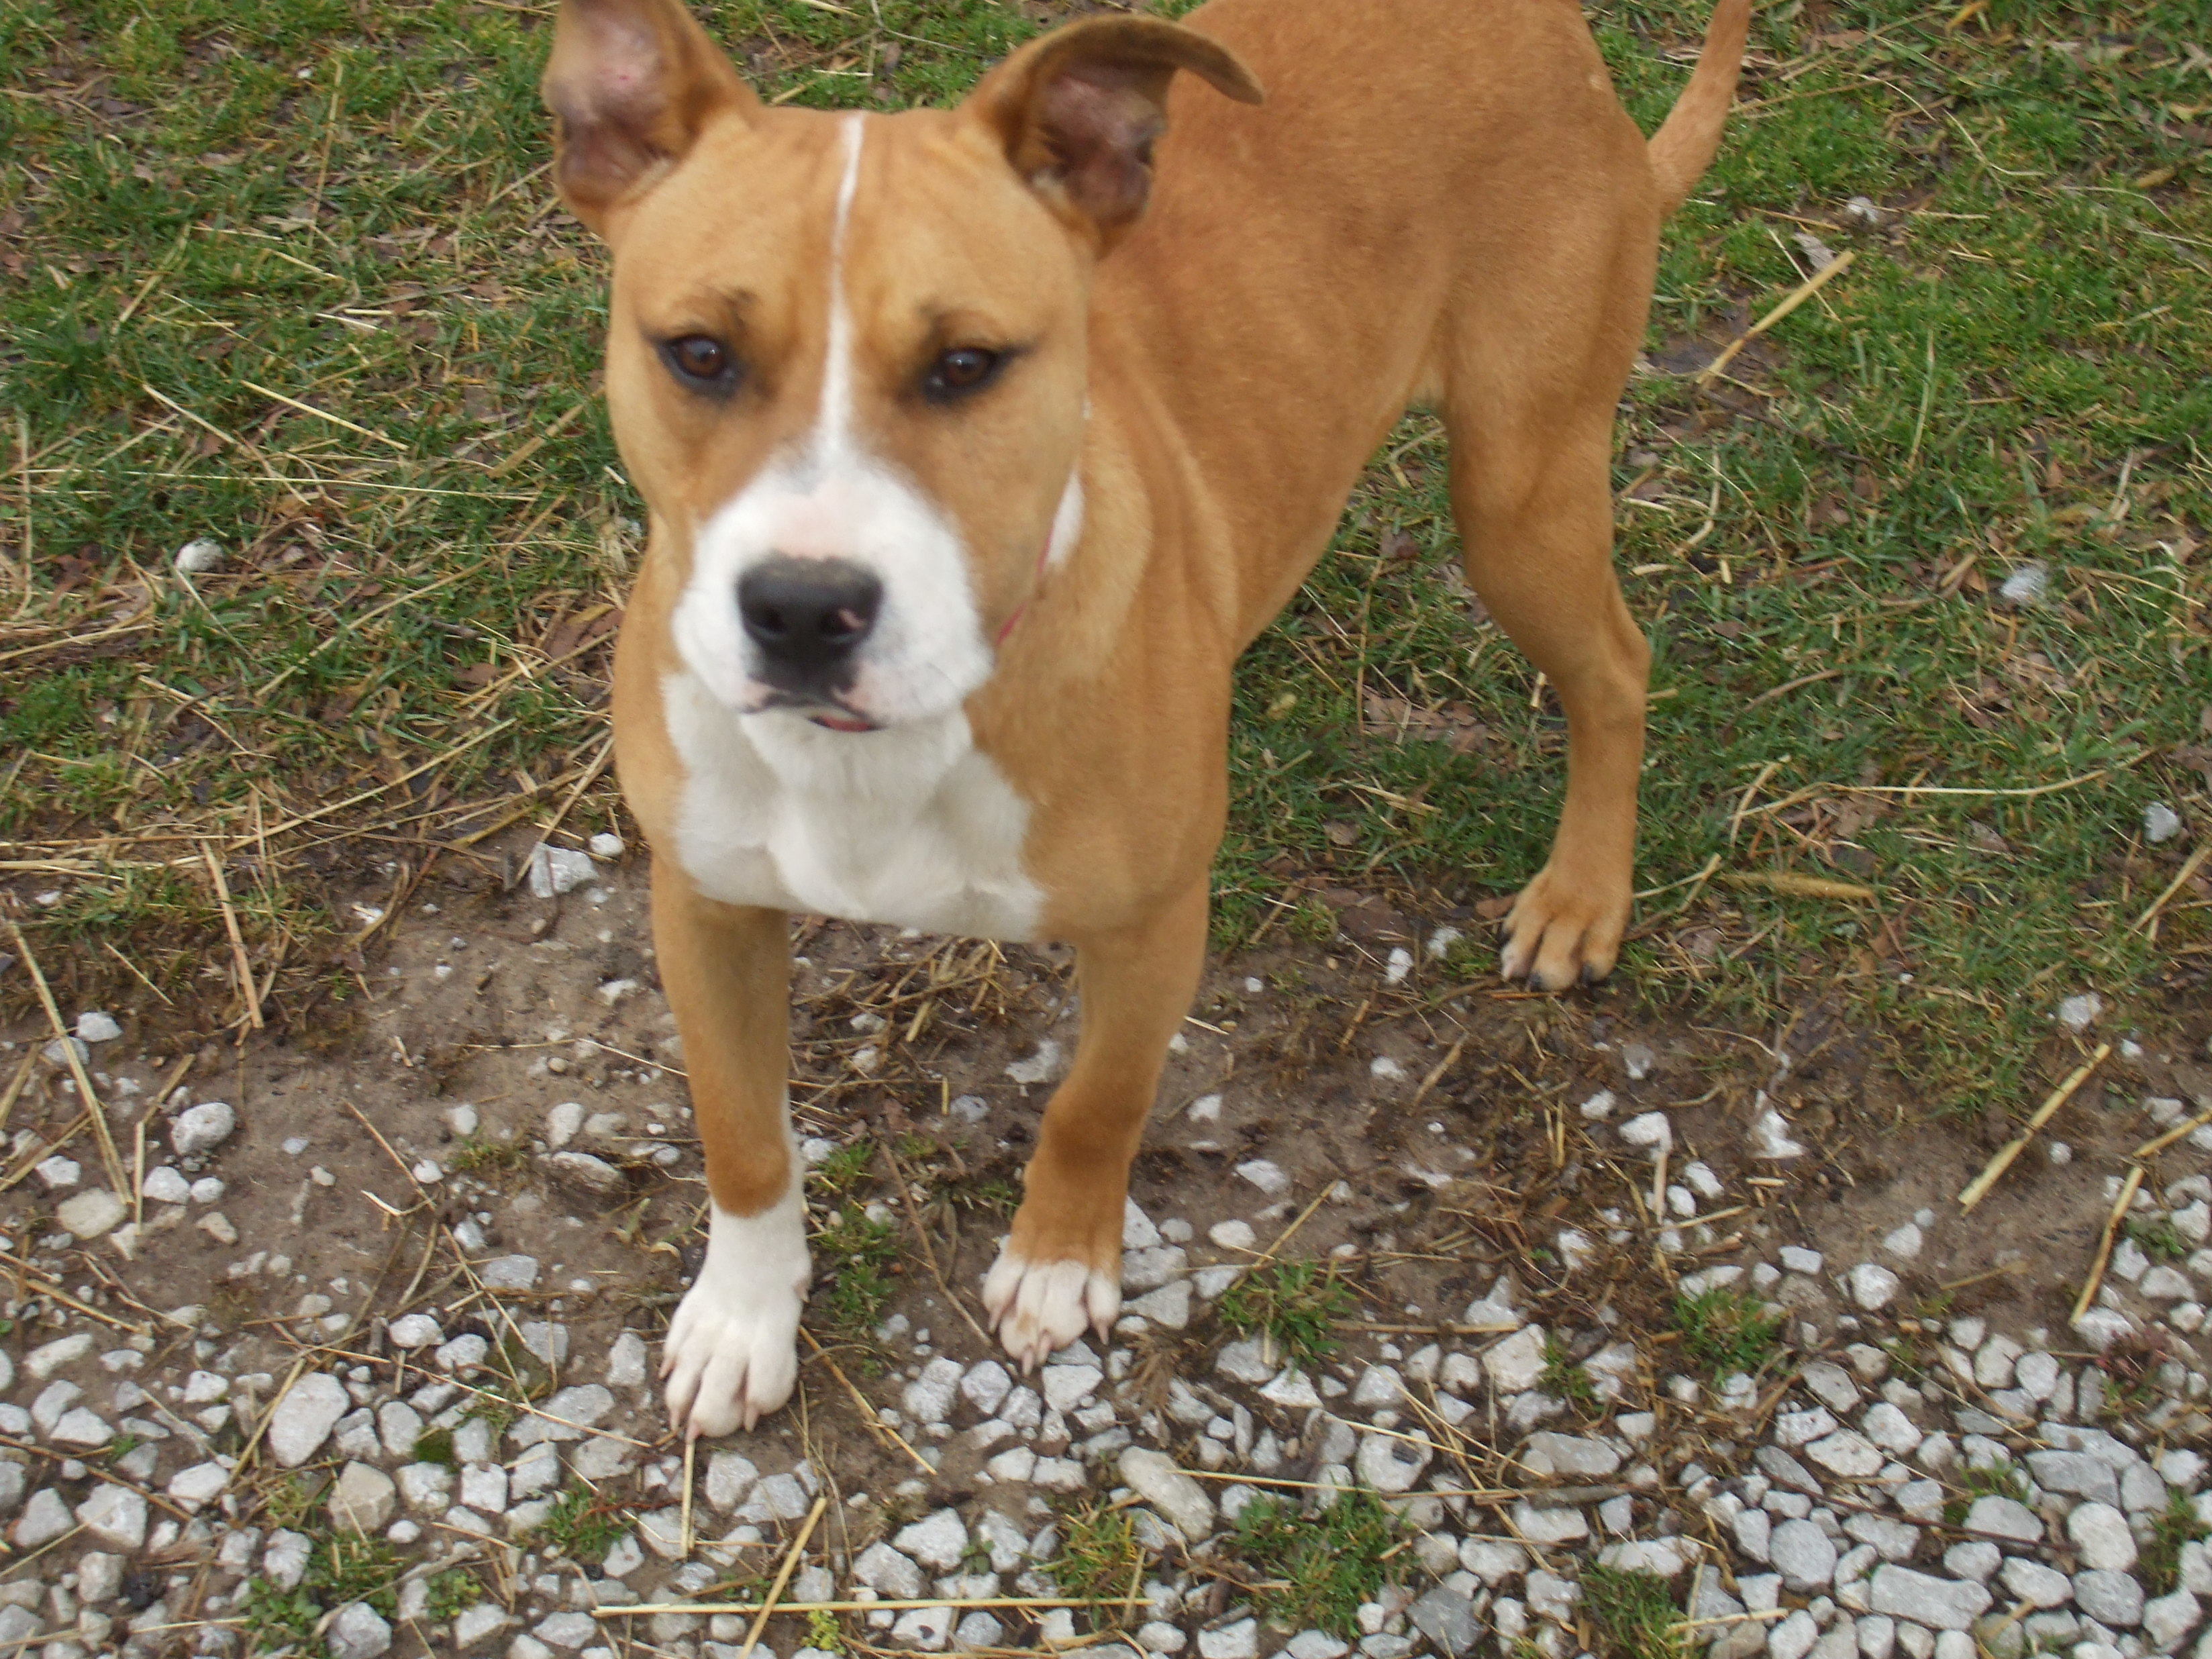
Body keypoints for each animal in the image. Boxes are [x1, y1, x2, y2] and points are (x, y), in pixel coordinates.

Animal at [540, 0, 1743, 1433]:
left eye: (966, 365)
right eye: (699, 355)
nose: (801, 608)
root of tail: (1557, 34)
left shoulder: (1156, 926)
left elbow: (1094, 1102)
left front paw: (1059, 1262)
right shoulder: (703, 904)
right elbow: (739, 1134)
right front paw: (741, 1315)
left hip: (1521, 485)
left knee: (1614, 669)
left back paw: (1581, 895)